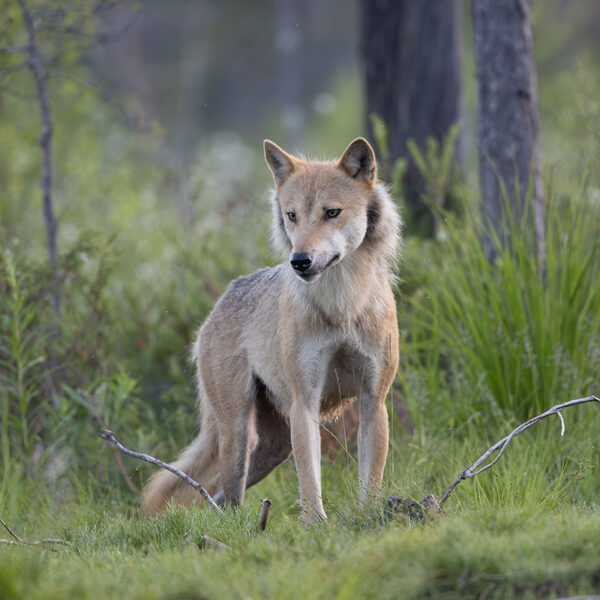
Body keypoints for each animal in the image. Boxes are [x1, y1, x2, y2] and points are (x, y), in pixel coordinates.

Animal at [142, 138, 400, 524]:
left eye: (332, 213)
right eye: (292, 216)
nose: (300, 261)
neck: (341, 306)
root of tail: (219, 304)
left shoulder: (374, 400)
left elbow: (371, 480)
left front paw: (369, 517)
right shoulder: (304, 403)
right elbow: (309, 480)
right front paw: (316, 526)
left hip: (271, 449)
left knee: (216, 495)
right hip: (239, 436)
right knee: (226, 496)